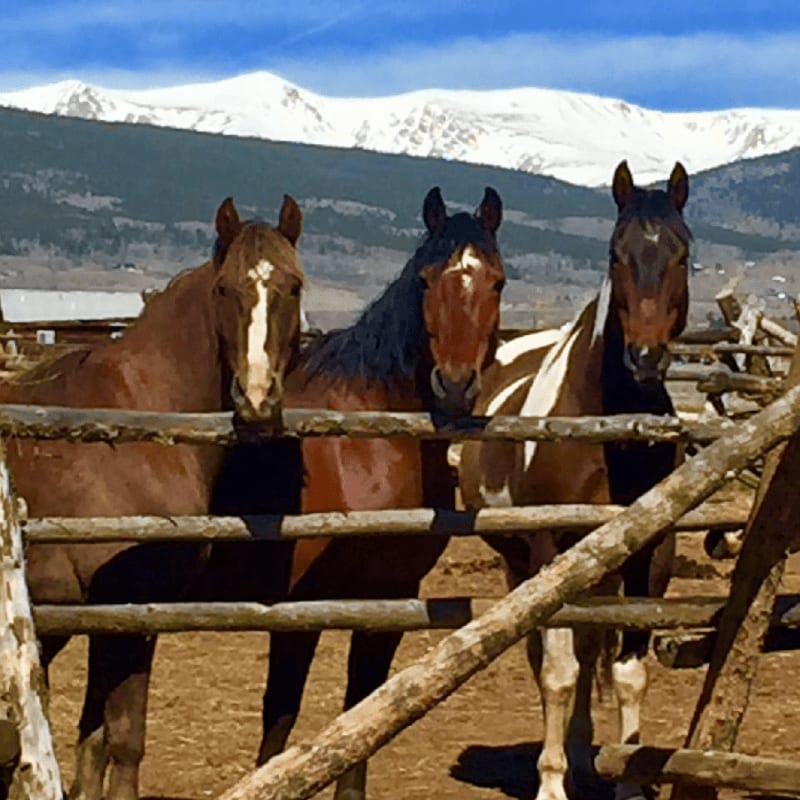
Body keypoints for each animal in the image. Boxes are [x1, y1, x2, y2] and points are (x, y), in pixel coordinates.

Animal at [0, 194, 305, 800]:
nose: (258, 399)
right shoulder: (124, 609)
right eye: (224, 289)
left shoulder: (120, 618)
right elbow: (124, 737)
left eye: (294, 286)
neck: (134, 428)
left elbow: (95, 736)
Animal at [206, 185, 505, 800]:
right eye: (426, 280)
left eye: (497, 282)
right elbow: (281, 709)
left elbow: (364, 706)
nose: (454, 386)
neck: (364, 447)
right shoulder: (297, 605)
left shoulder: (389, 595)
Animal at [460, 161, 691, 800]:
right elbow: (558, 673)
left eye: (683, 252)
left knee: (590, 650)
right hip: (524, 565)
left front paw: (628, 778)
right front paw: (551, 783)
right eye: (615, 252)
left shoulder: (651, 555)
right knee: (546, 655)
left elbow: (628, 672)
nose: (644, 357)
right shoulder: (552, 547)